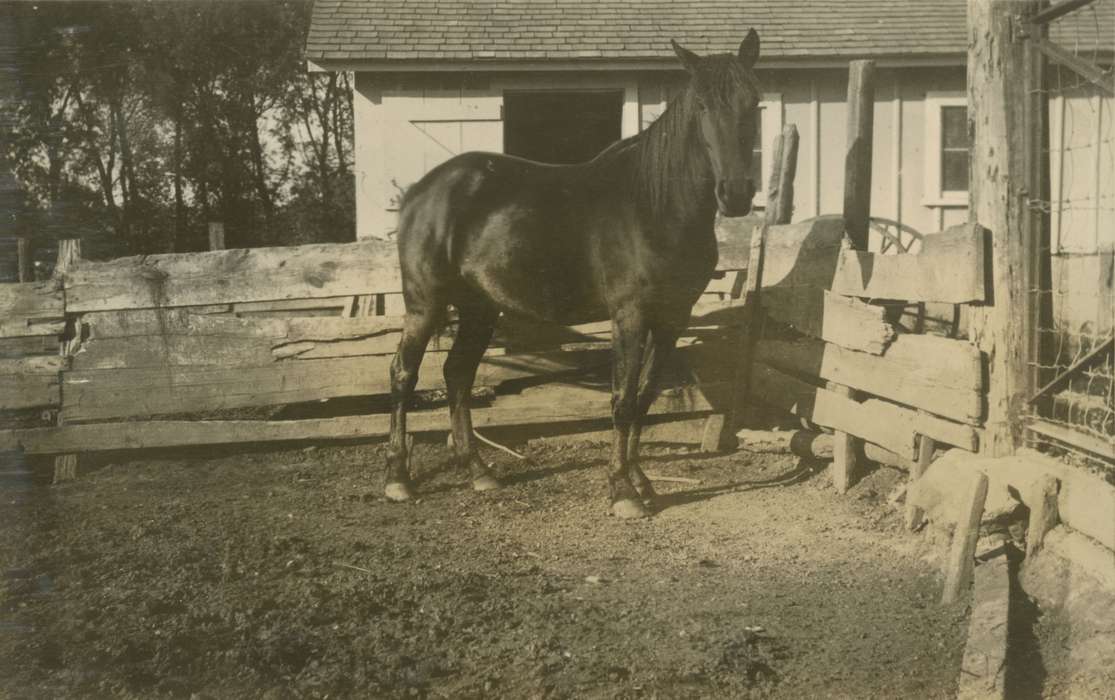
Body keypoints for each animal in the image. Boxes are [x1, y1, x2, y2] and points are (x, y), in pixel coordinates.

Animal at [385, 30, 767, 517]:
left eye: (752, 101)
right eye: (701, 105)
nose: (736, 195)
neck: (655, 205)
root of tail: (422, 190)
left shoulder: (672, 318)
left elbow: (645, 396)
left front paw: (641, 482)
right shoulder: (630, 316)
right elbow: (622, 398)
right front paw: (622, 491)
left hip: (480, 309)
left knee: (457, 375)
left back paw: (479, 472)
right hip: (425, 304)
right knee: (404, 374)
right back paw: (398, 479)